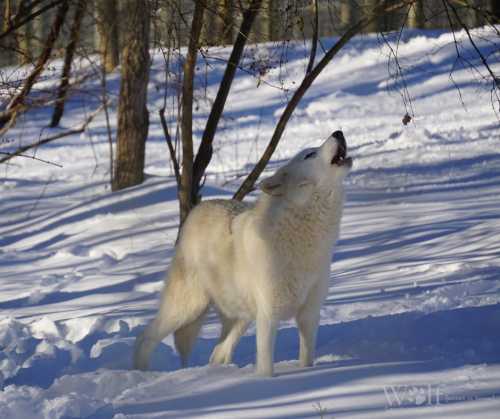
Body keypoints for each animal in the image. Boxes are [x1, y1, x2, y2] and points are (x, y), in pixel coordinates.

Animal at [133, 131, 352, 378]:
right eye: (310, 154)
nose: (338, 132)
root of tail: (196, 210)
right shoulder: (268, 316)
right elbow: (265, 367)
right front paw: (265, 383)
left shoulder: (309, 315)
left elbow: (306, 361)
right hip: (188, 308)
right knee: (144, 338)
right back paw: (142, 373)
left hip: (240, 318)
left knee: (218, 353)